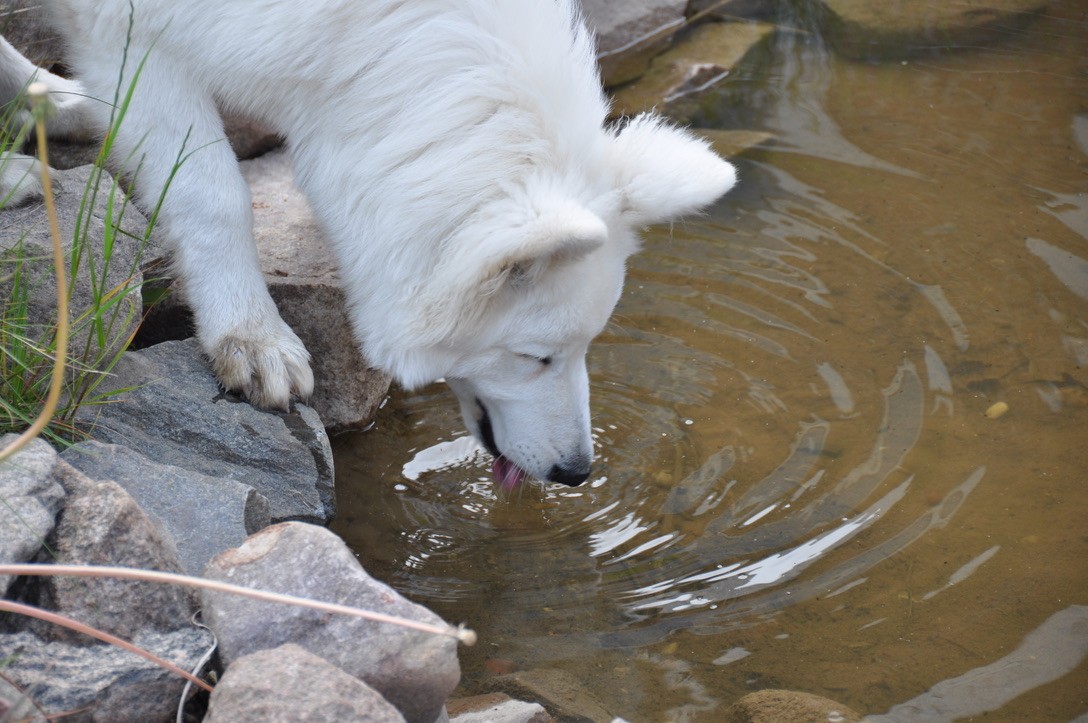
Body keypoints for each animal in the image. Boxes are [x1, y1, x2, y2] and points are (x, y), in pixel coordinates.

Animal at [4, 1, 735, 484]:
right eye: (536, 357)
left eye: (586, 348)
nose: (578, 473)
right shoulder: (134, 32)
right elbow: (213, 194)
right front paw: (250, 333)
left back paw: (60, 102)